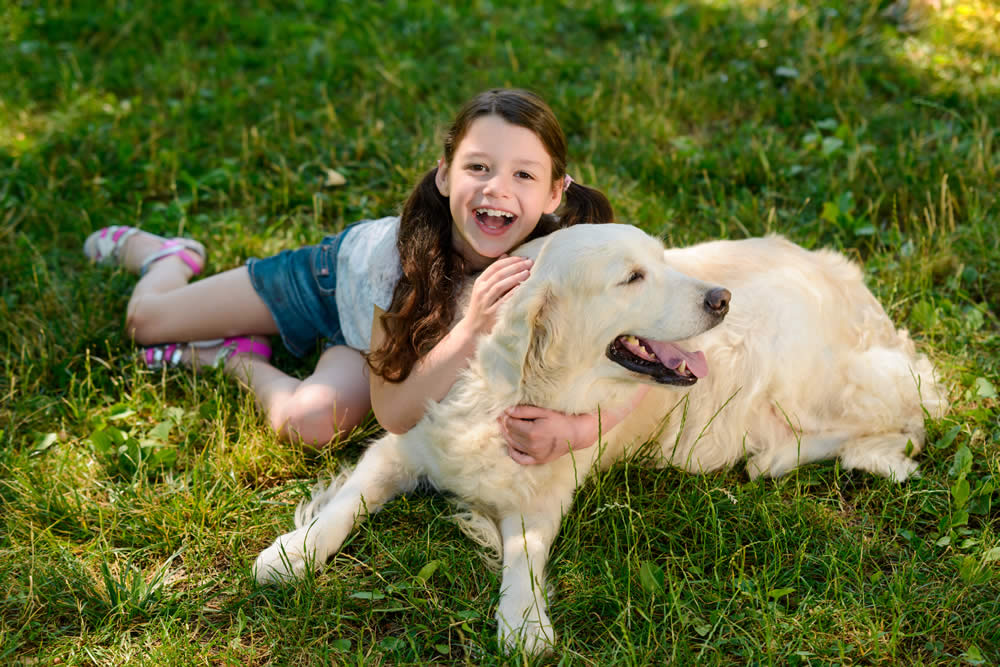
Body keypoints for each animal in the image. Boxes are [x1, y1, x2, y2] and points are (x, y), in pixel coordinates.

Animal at [250, 224, 944, 656]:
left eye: (662, 261)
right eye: (634, 277)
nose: (721, 298)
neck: (509, 392)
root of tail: (850, 282)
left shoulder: (547, 491)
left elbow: (524, 552)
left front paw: (524, 620)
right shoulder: (402, 443)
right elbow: (349, 501)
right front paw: (294, 553)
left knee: (904, 412)